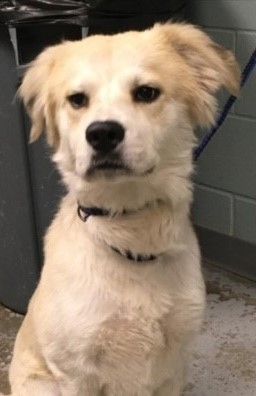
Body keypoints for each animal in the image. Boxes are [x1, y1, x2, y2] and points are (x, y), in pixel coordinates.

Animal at [5, 23, 240, 394]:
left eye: (146, 92)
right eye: (77, 100)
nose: (102, 133)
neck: (132, 237)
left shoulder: (174, 367)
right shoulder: (74, 372)